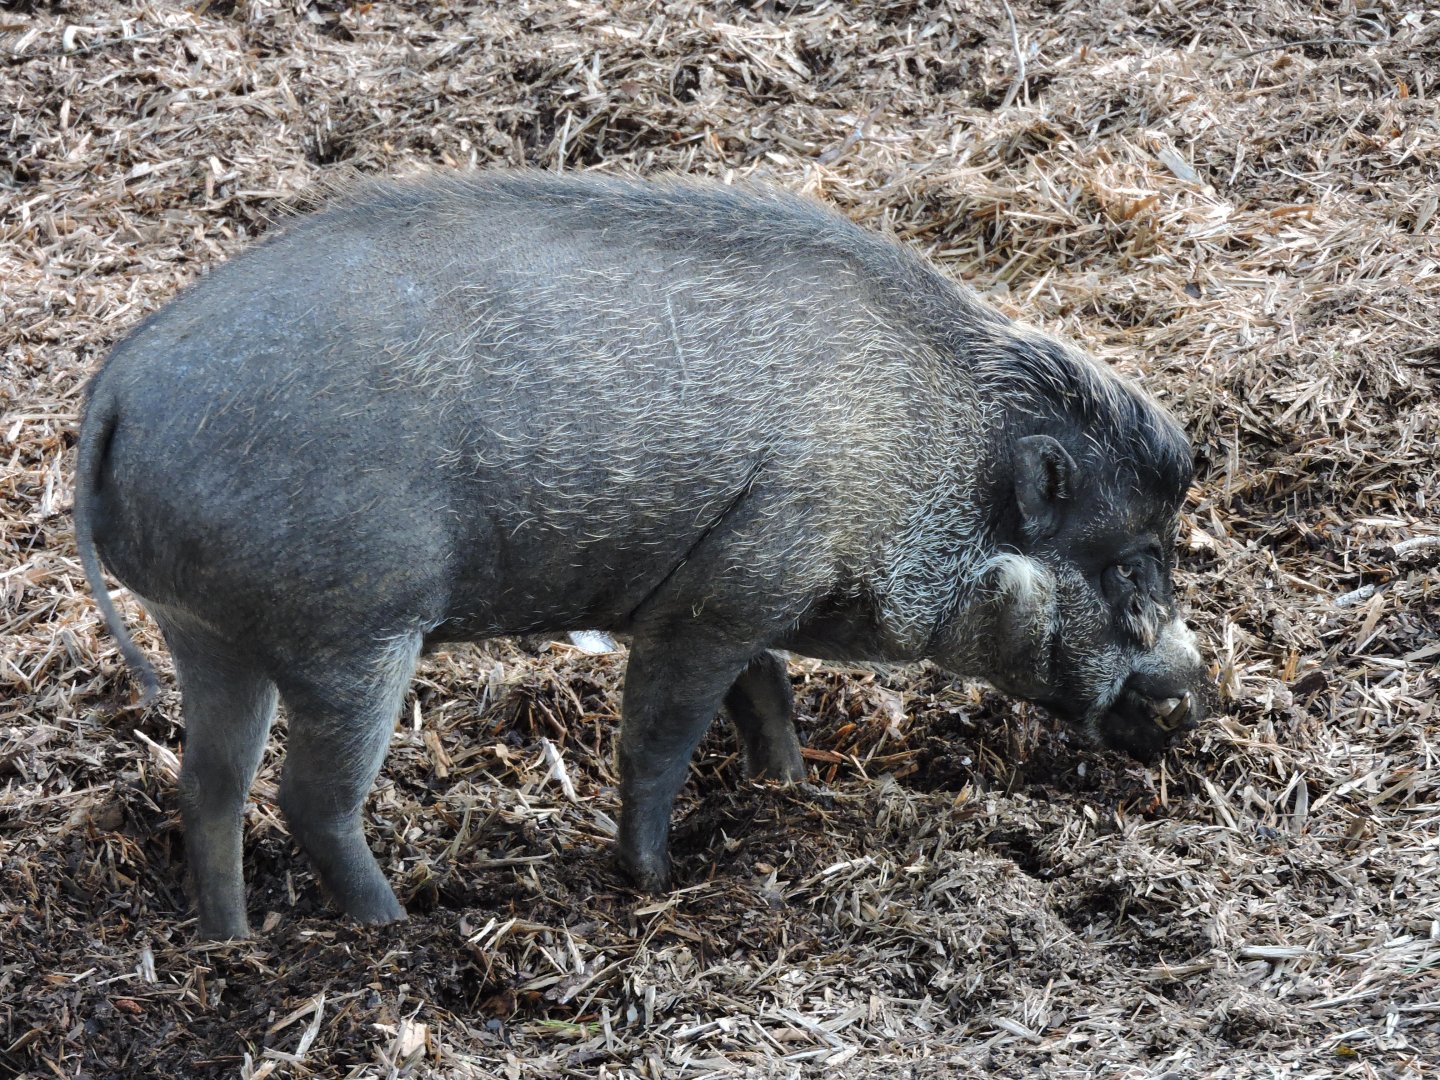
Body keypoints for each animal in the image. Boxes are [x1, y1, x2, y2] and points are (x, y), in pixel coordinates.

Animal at [74, 171, 1206, 939]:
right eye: (1133, 564)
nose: (1201, 695)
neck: (932, 452)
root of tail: (116, 385)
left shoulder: (740, 590)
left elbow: (767, 696)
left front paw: (794, 792)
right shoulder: (725, 594)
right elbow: (660, 739)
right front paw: (654, 880)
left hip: (209, 629)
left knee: (210, 784)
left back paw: (231, 941)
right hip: (351, 633)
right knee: (310, 799)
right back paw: (395, 926)